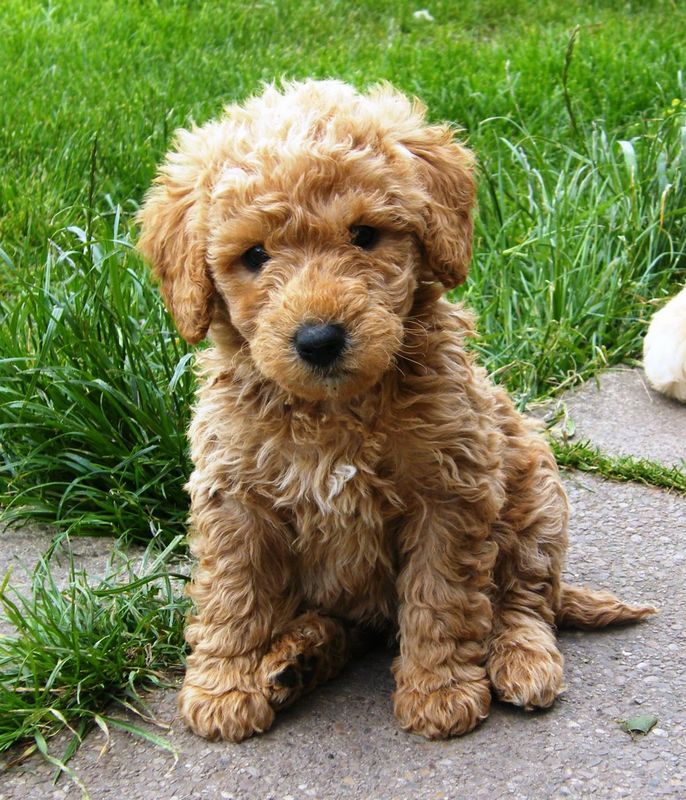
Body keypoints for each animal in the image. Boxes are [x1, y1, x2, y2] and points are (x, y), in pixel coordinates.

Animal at [137, 81, 660, 744]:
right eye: (254, 255)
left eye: (363, 235)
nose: (319, 340)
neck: (334, 413)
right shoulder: (234, 497)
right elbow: (232, 594)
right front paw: (223, 688)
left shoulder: (450, 493)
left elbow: (442, 598)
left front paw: (439, 692)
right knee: (350, 627)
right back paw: (296, 658)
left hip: (536, 495)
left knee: (524, 597)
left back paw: (522, 658)